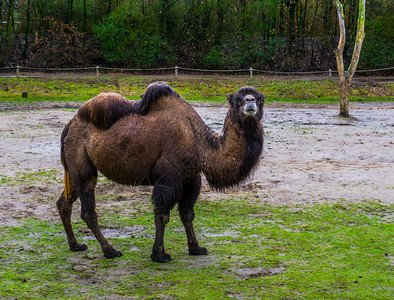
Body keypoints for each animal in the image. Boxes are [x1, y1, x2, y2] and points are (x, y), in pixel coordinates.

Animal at [56, 82, 264, 262]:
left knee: (64, 202)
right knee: (88, 209)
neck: (200, 144)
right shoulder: (169, 177)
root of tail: (69, 126)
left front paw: (196, 247)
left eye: (260, 97)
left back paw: (75, 245)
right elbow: (162, 215)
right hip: (81, 163)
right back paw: (110, 251)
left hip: (73, 168)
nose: (250, 101)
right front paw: (159, 254)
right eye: (238, 99)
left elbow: (187, 213)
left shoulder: (191, 178)